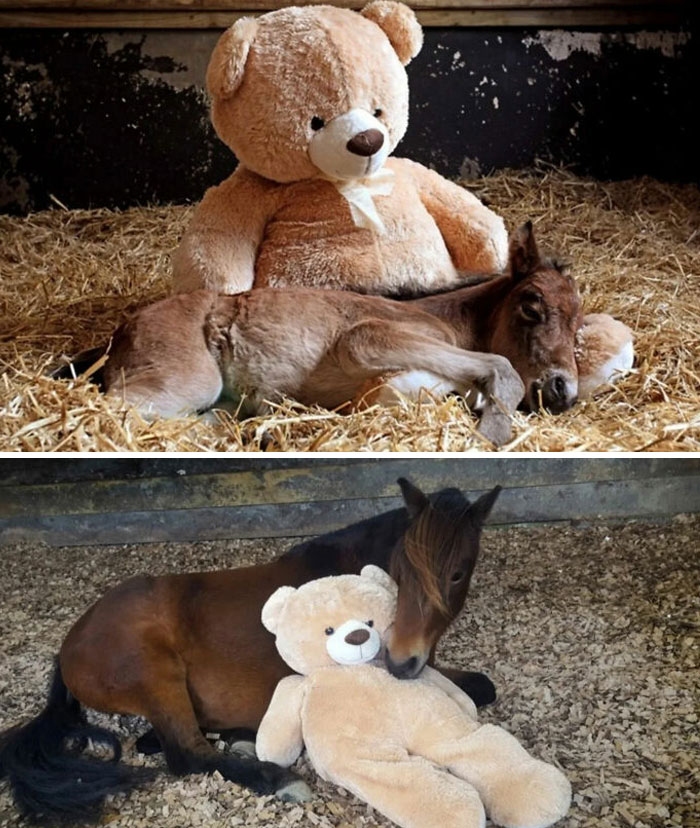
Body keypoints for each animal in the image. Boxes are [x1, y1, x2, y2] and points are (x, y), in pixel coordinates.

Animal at [0, 477, 501, 824]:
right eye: (403, 568)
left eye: (458, 573)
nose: (400, 661)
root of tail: (69, 645)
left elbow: (484, 686)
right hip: (154, 673)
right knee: (187, 755)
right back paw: (277, 778)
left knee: (159, 741)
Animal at [55, 222, 580, 446]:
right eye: (531, 305)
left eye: (578, 325)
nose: (564, 391)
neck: (447, 319)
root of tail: (121, 331)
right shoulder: (367, 338)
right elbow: (500, 370)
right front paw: (492, 430)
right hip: (185, 380)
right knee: (113, 410)